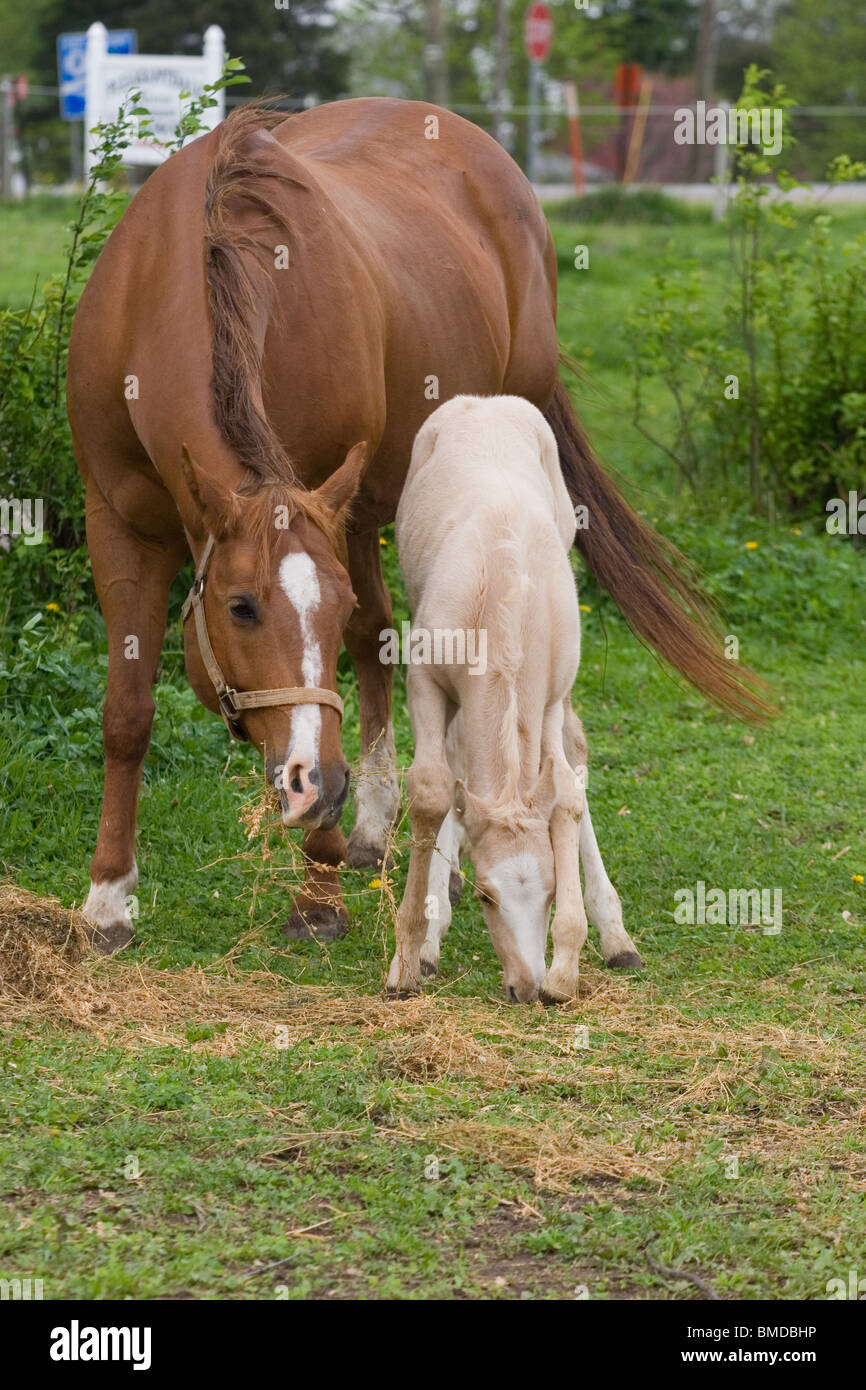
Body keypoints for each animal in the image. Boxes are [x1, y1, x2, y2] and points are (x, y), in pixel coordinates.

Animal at [387, 394, 643, 1001]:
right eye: (487, 895)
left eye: (549, 892)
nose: (526, 987)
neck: (504, 604)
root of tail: (485, 400)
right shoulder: (423, 677)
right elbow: (431, 790)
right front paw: (408, 958)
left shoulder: (547, 697)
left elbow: (566, 791)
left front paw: (567, 970)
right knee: (454, 757)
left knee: (571, 749)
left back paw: (617, 937)